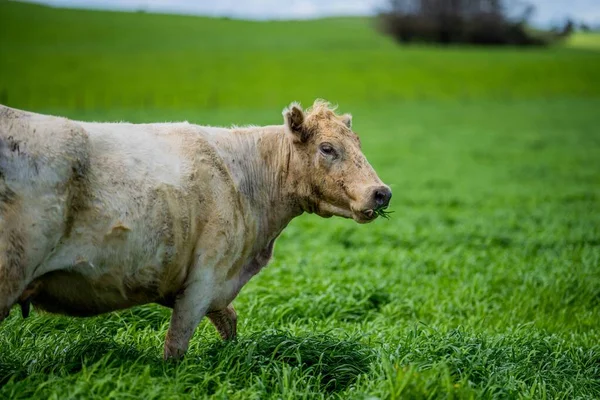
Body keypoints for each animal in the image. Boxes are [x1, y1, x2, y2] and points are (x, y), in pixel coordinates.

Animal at [0, 101, 392, 360]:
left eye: (357, 142)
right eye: (327, 148)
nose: (382, 192)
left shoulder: (212, 288)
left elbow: (229, 322)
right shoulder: (204, 278)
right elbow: (176, 346)